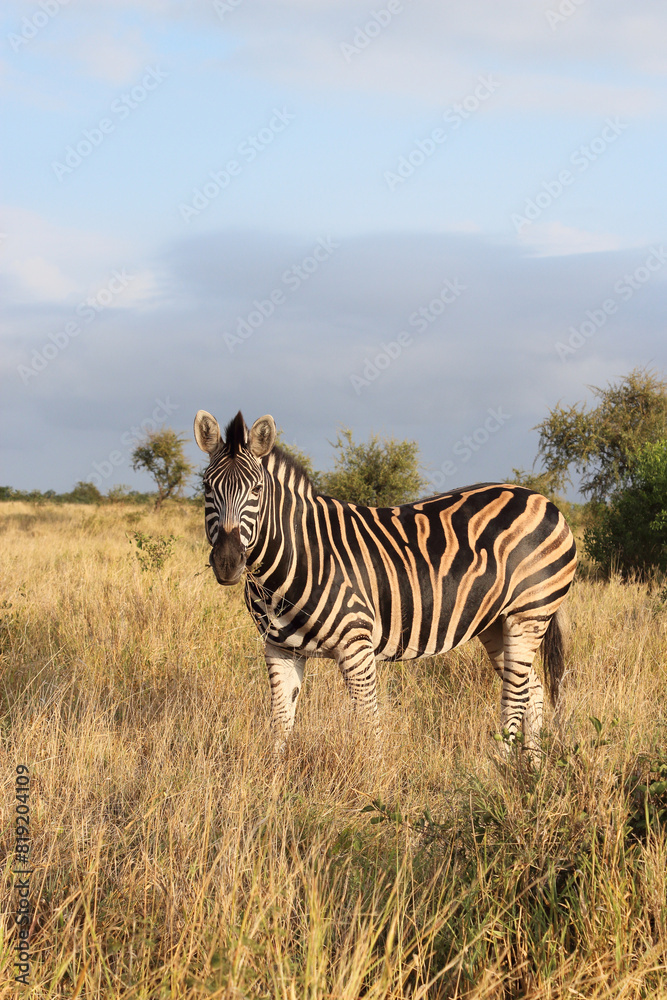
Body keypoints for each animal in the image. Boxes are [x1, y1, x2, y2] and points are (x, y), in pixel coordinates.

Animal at [194, 409, 577, 759]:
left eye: (257, 489)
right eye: (206, 487)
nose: (227, 561)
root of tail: (543, 500)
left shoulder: (356, 646)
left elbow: (368, 725)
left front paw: (370, 783)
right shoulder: (280, 649)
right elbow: (280, 724)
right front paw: (275, 779)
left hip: (529, 613)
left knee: (515, 695)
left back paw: (500, 768)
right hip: (496, 622)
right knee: (533, 689)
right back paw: (531, 768)